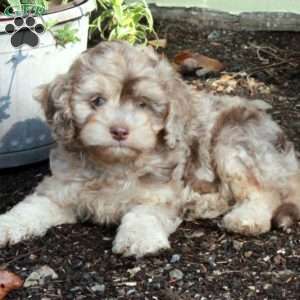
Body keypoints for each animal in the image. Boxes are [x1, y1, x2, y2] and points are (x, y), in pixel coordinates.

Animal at [0, 41, 298, 258]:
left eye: (143, 104)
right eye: (97, 101)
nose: (119, 131)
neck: (116, 164)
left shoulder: (161, 193)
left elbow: (145, 212)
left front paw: (138, 238)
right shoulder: (61, 188)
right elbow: (32, 206)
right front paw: (7, 225)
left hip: (234, 141)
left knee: (264, 192)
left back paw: (246, 218)